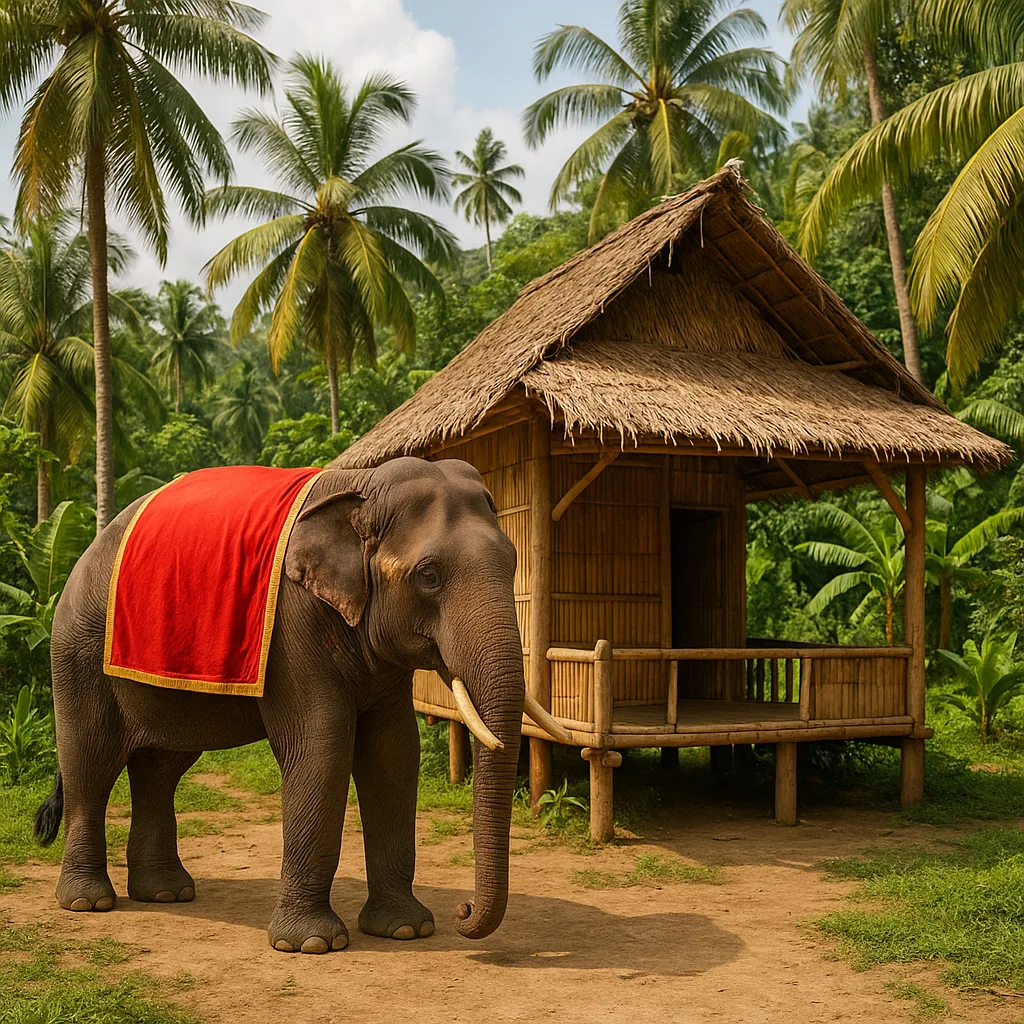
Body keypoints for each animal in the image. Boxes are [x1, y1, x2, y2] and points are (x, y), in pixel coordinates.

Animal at [33, 456, 548, 952]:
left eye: (512, 561)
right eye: (429, 576)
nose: (463, 911)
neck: (363, 489)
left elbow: (394, 753)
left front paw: (406, 930)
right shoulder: (291, 628)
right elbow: (321, 749)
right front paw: (313, 944)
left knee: (161, 768)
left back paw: (165, 893)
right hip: (77, 650)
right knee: (90, 761)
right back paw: (88, 902)